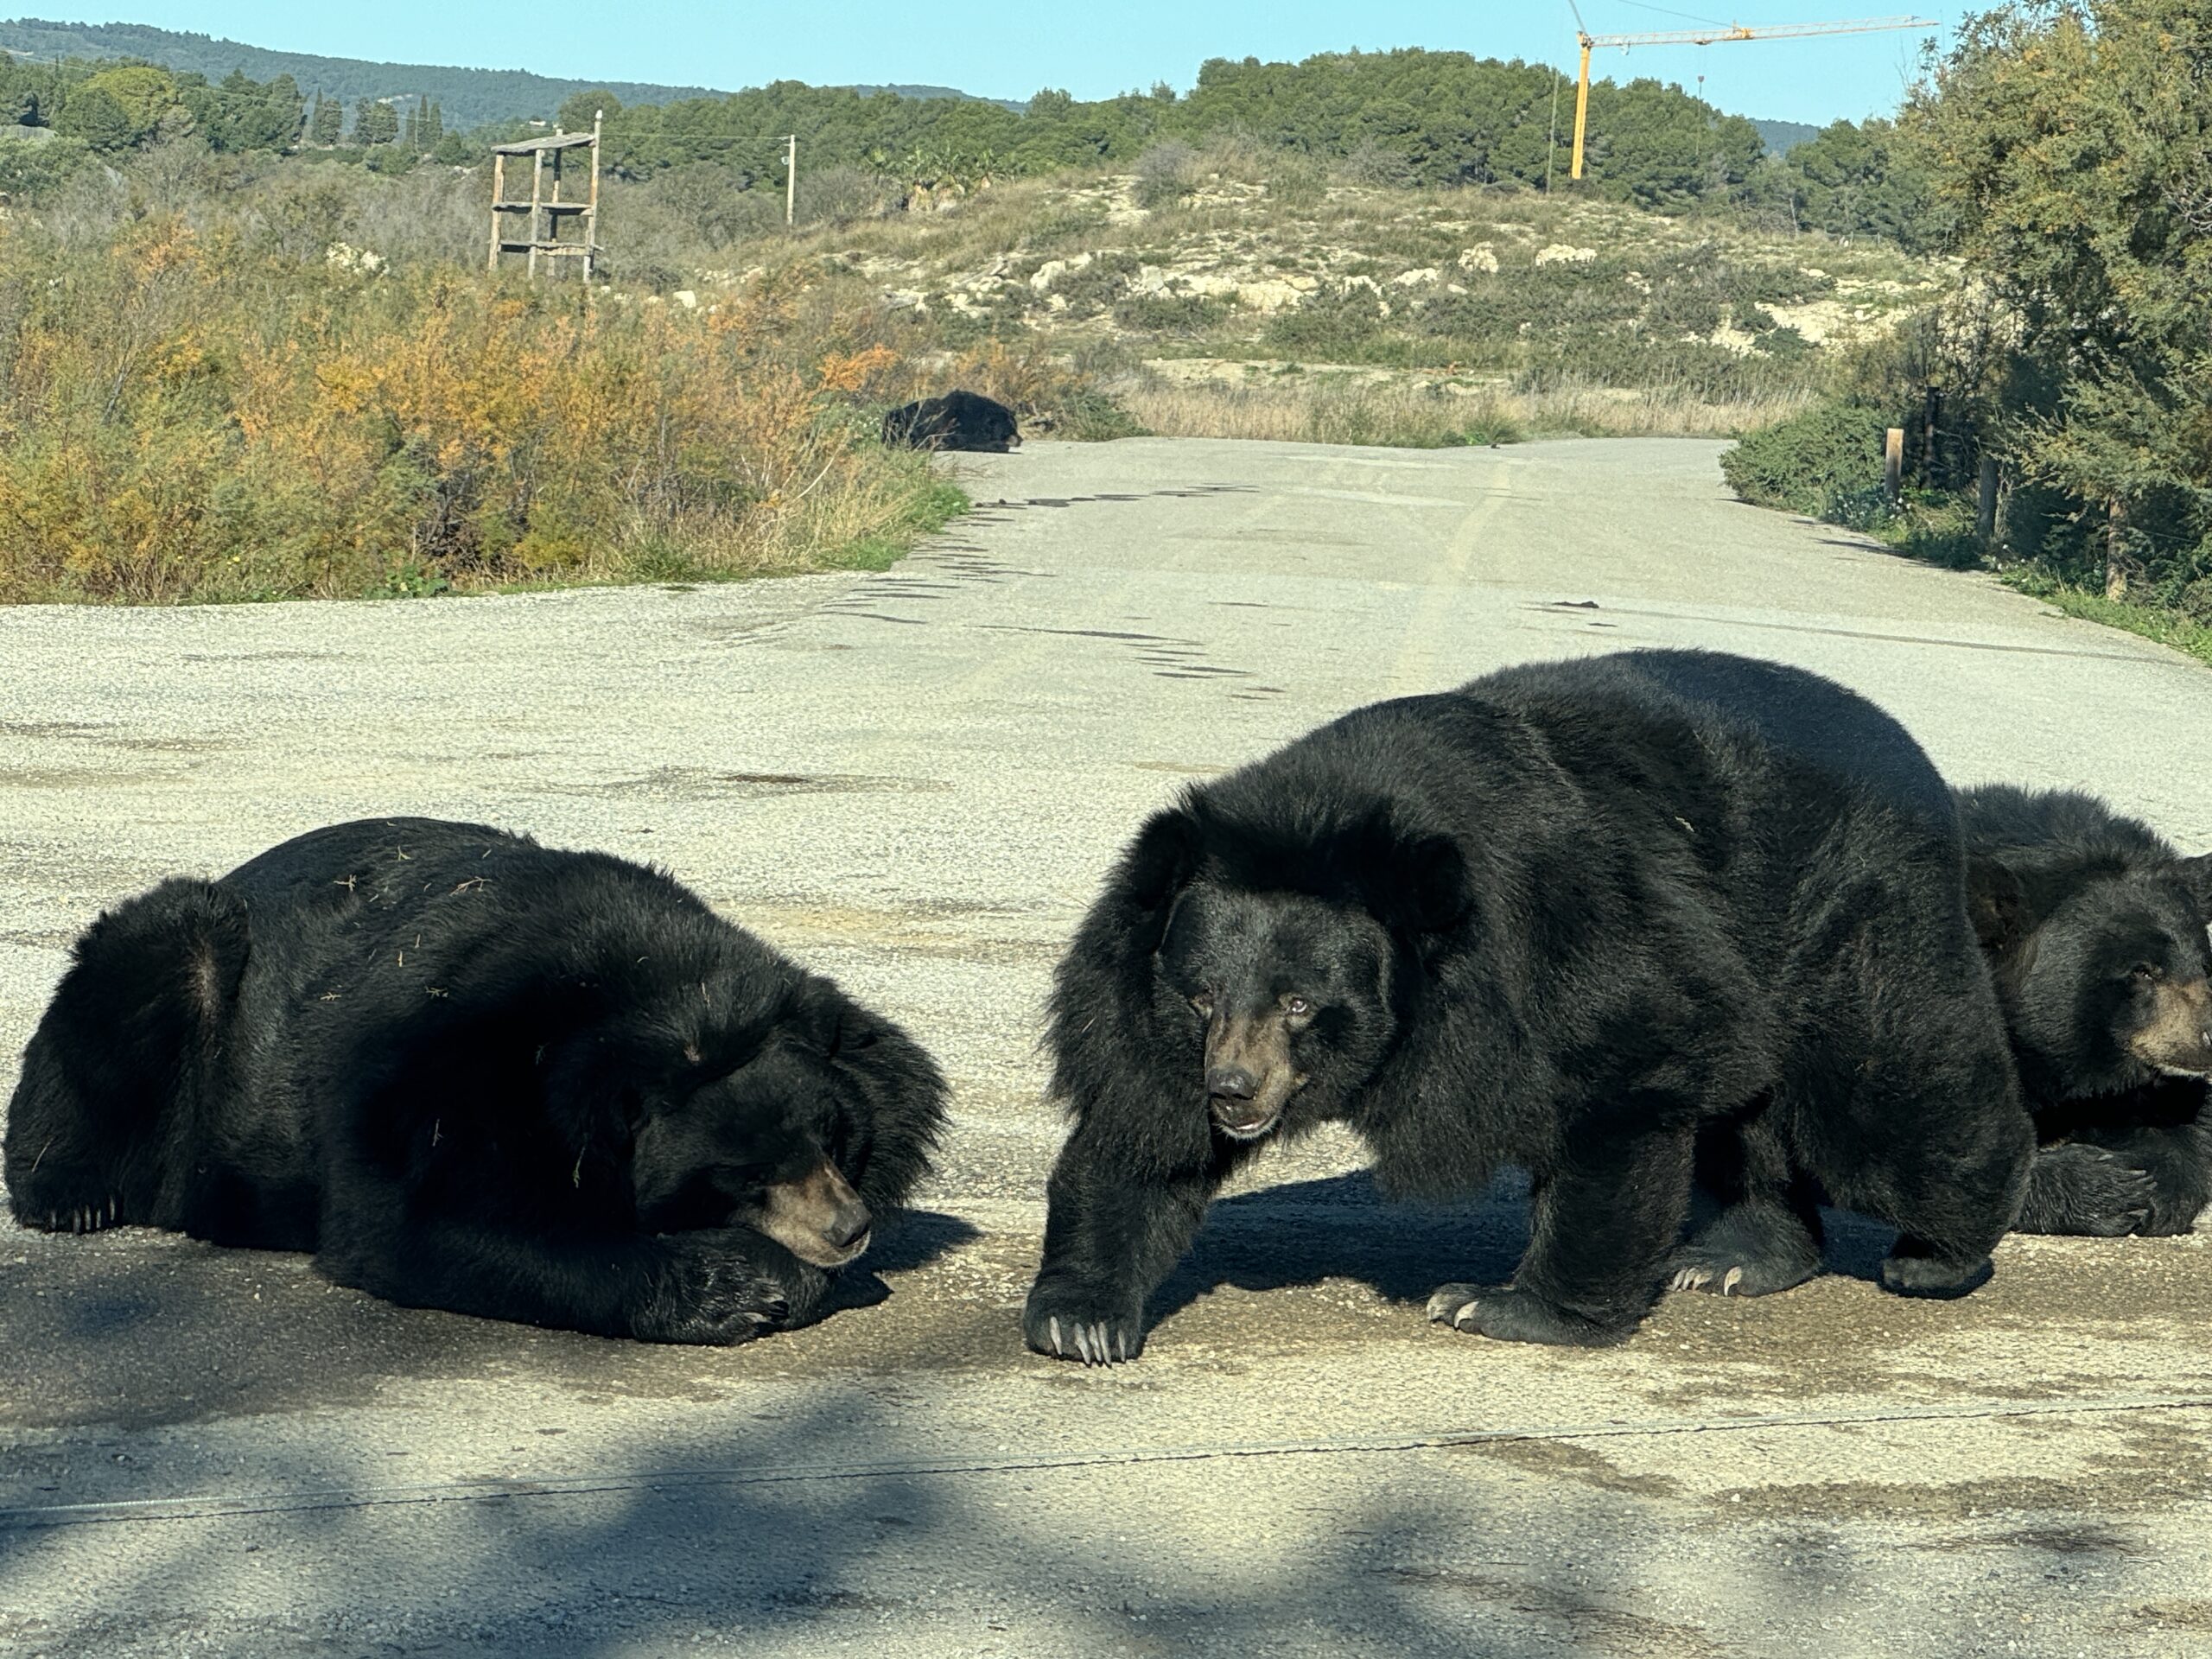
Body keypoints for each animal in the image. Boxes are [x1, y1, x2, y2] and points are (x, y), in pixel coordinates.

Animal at [4, 818, 947, 1343]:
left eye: (831, 1136)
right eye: (741, 1177)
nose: (847, 1229)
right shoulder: (442, 1057)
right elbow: (421, 1221)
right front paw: (742, 1287)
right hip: (182, 964)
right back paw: (74, 1194)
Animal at [880, 389, 1021, 453]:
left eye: (1015, 428)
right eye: (1011, 430)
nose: (1021, 440)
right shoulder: (951, 425)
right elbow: (962, 439)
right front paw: (998, 445)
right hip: (899, 421)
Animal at [1024, 649, 2033, 1362]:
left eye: (1302, 1003)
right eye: (1199, 997)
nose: (1233, 1092)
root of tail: (1916, 759)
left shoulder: (1560, 937)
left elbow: (1621, 1082)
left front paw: (1499, 1304)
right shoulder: (1135, 996)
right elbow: (1139, 1131)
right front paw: (1082, 1319)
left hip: (1847, 916)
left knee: (1890, 1089)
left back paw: (1938, 1253)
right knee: (1754, 1110)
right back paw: (1736, 1256)